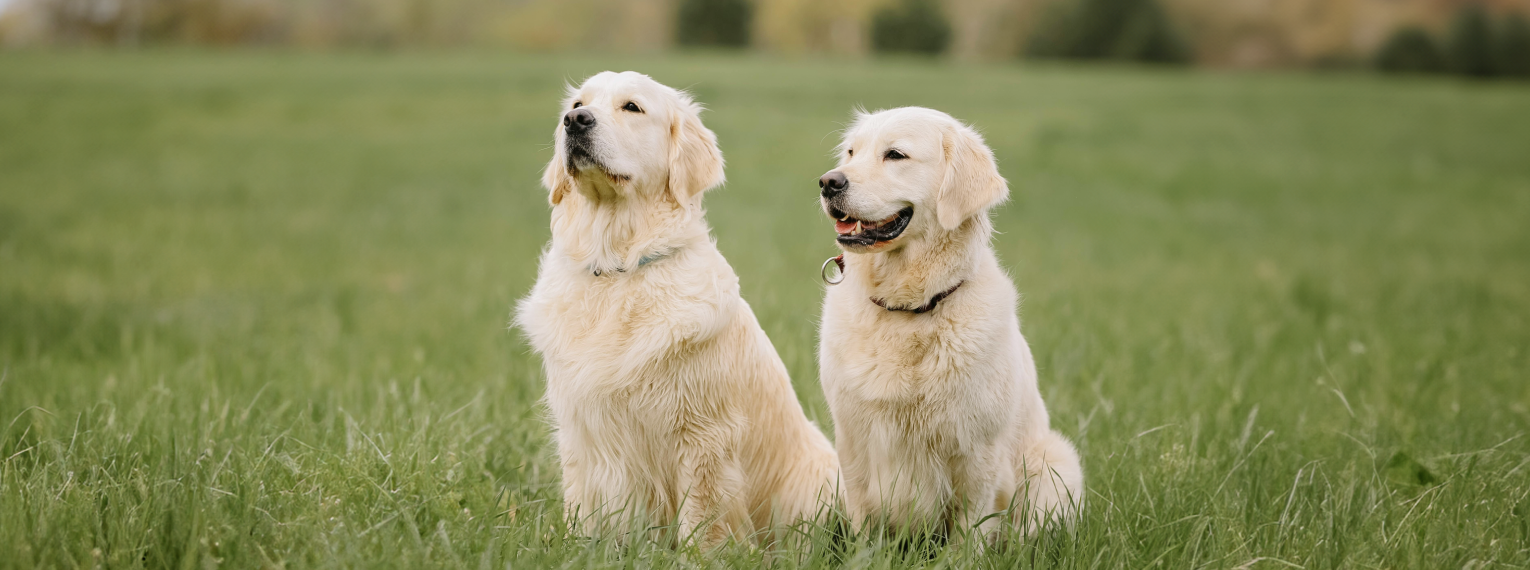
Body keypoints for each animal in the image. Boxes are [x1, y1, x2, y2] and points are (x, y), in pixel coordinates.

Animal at [514, 71, 838, 547]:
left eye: (632, 107)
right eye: (576, 104)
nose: (576, 121)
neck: (620, 266)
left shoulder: (704, 437)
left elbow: (704, 520)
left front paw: (702, 555)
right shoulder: (581, 432)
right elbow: (583, 508)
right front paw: (579, 548)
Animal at [820, 105, 1083, 540]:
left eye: (895, 155)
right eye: (851, 152)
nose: (828, 182)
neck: (908, 310)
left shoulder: (978, 453)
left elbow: (969, 532)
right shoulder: (853, 442)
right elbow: (864, 526)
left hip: (1055, 461)